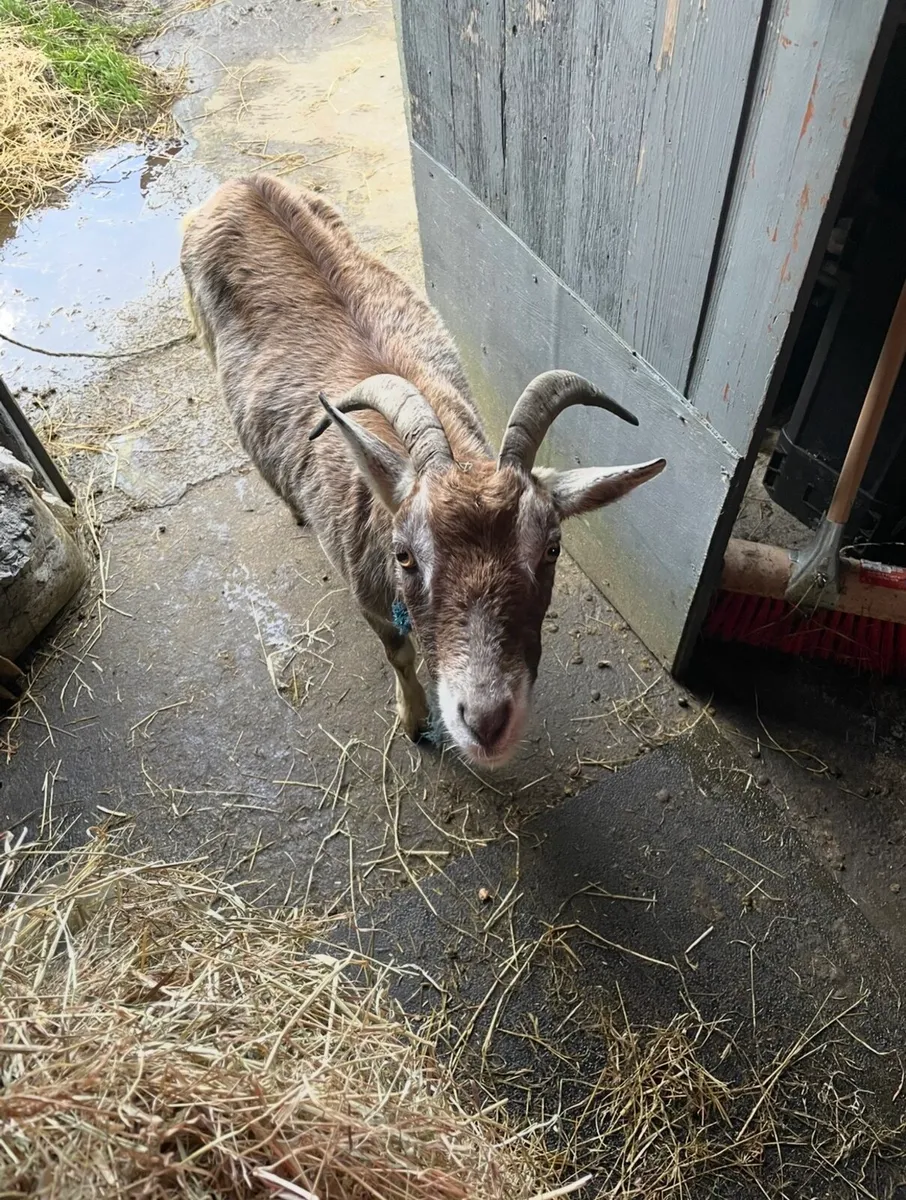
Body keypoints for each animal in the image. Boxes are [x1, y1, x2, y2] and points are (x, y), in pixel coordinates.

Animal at [180, 174, 665, 767]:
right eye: (403, 555)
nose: (486, 721)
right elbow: (398, 655)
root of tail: (240, 185)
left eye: (551, 548)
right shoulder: (372, 600)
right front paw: (412, 720)